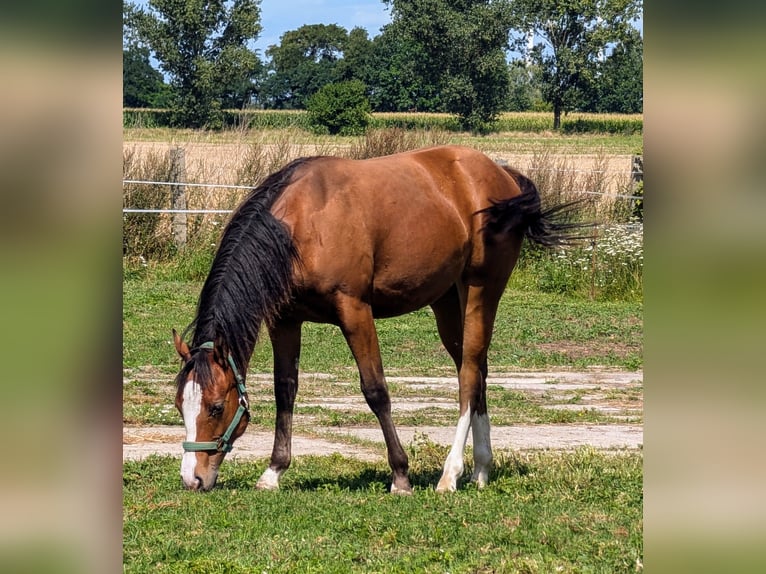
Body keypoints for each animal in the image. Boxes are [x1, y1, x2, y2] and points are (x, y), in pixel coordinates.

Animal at [172, 145, 584, 496]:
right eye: (180, 406)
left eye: (215, 407)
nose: (193, 478)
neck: (301, 224)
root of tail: (502, 174)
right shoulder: (284, 321)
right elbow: (285, 389)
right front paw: (274, 471)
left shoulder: (354, 310)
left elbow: (375, 390)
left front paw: (400, 475)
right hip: (448, 302)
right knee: (476, 369)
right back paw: (481, 469)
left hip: (483, 289)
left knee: (469, 374)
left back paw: (450, 475)